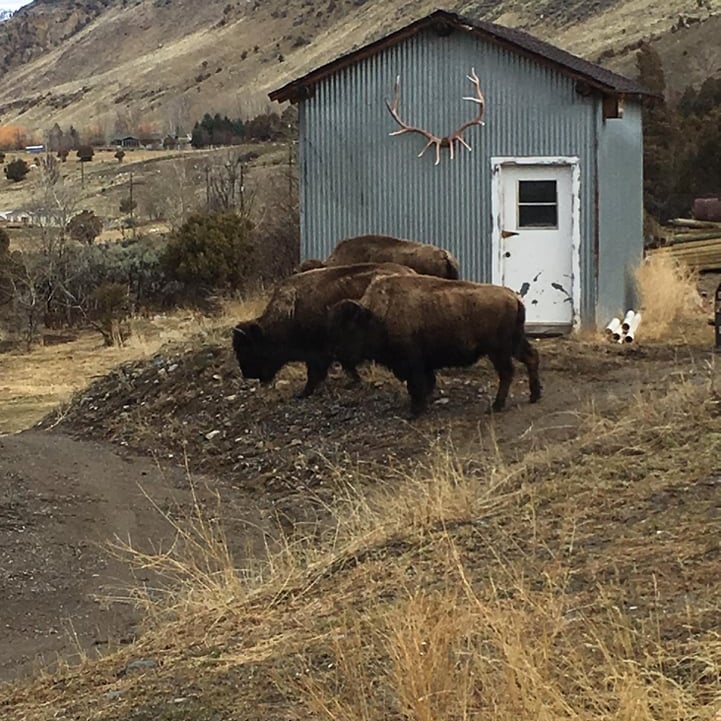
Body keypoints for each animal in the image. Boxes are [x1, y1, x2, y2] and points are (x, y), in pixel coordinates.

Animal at [232, 262, 416, 398]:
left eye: (249, 347)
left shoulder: (318, 352)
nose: (248, 374)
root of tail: (409, 272)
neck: (291, 310)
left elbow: (316, 373)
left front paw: (303, 393)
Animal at [327, 275, 542, 416]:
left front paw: (415, 411)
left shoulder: (412, 364)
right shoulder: (423, 365)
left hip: (498, 350)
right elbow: (426, 383)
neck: (377, 315)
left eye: (350, 328)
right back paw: (534, 396)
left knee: (507, 372)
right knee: (531, 357)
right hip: (514, 343)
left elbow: (416, 385)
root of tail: (514, 298)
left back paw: (497, 406)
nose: (338, 355)